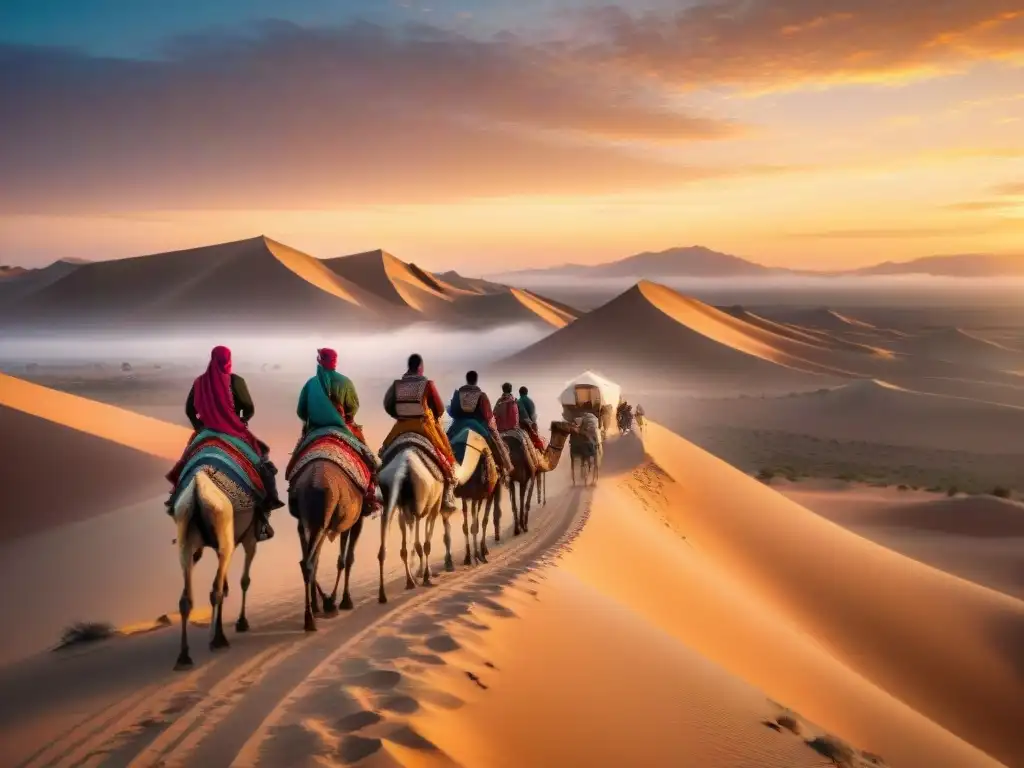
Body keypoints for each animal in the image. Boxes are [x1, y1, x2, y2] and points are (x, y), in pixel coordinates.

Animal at [172, 466, 260, 671]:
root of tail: (198, 491)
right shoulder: (250, 537)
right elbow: (244, 581)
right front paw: (241, 622)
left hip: (185, 541)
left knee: (186, 599)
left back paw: (184, 656)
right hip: (223, 532)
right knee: (216, 592)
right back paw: (218, 639)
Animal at [288, 462, 368, 630]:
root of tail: (311, 485)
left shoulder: (345, 521)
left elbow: (341, 560)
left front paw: (331, 600)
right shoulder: (357, 519)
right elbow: (348, 559)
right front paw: (345, 600)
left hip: (305, 522)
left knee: (307, 562)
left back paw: (315, 609)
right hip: (322, 521)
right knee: (311, 562)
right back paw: (310, 618)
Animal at [376, 434, 487, 606]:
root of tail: (402, 468)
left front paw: (419, 574)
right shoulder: (434, 503)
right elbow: (425, 543)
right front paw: (426, 575)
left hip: (390, 500)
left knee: (385, 547)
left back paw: (386, 593)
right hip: (420, 499)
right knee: (418, 539)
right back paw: (416, 579)